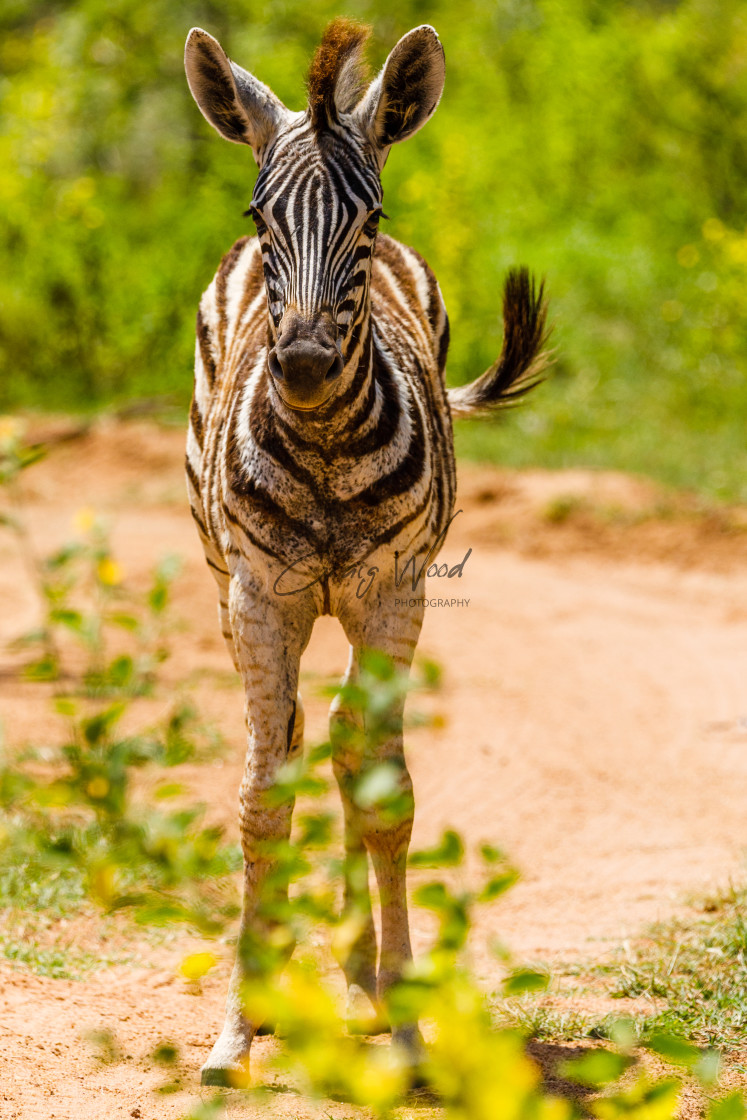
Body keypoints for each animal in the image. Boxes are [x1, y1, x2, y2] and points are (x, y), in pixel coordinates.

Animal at [183, 15, 546, 1084]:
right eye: (262, 217)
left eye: (368, 218)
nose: (301, 367)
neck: (326, 449)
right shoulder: (258, 596)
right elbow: (262, 793)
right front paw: (236, 1028)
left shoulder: (392, 594)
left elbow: (384, 793)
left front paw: (408, 1024)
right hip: (234, 589)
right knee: (309, 738)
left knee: (349, 748)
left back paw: (357, 989)